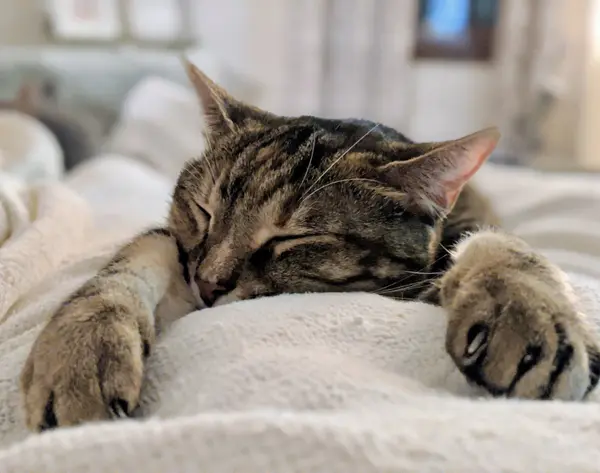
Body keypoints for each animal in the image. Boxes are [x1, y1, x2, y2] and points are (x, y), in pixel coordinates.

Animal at [18, 61, 600, 428]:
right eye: (204, 211)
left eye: (292, 238)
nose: (207, 284)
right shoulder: (178, 250)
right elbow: (135, 258)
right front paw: (81, 351)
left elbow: (500, 247)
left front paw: (528, 314)